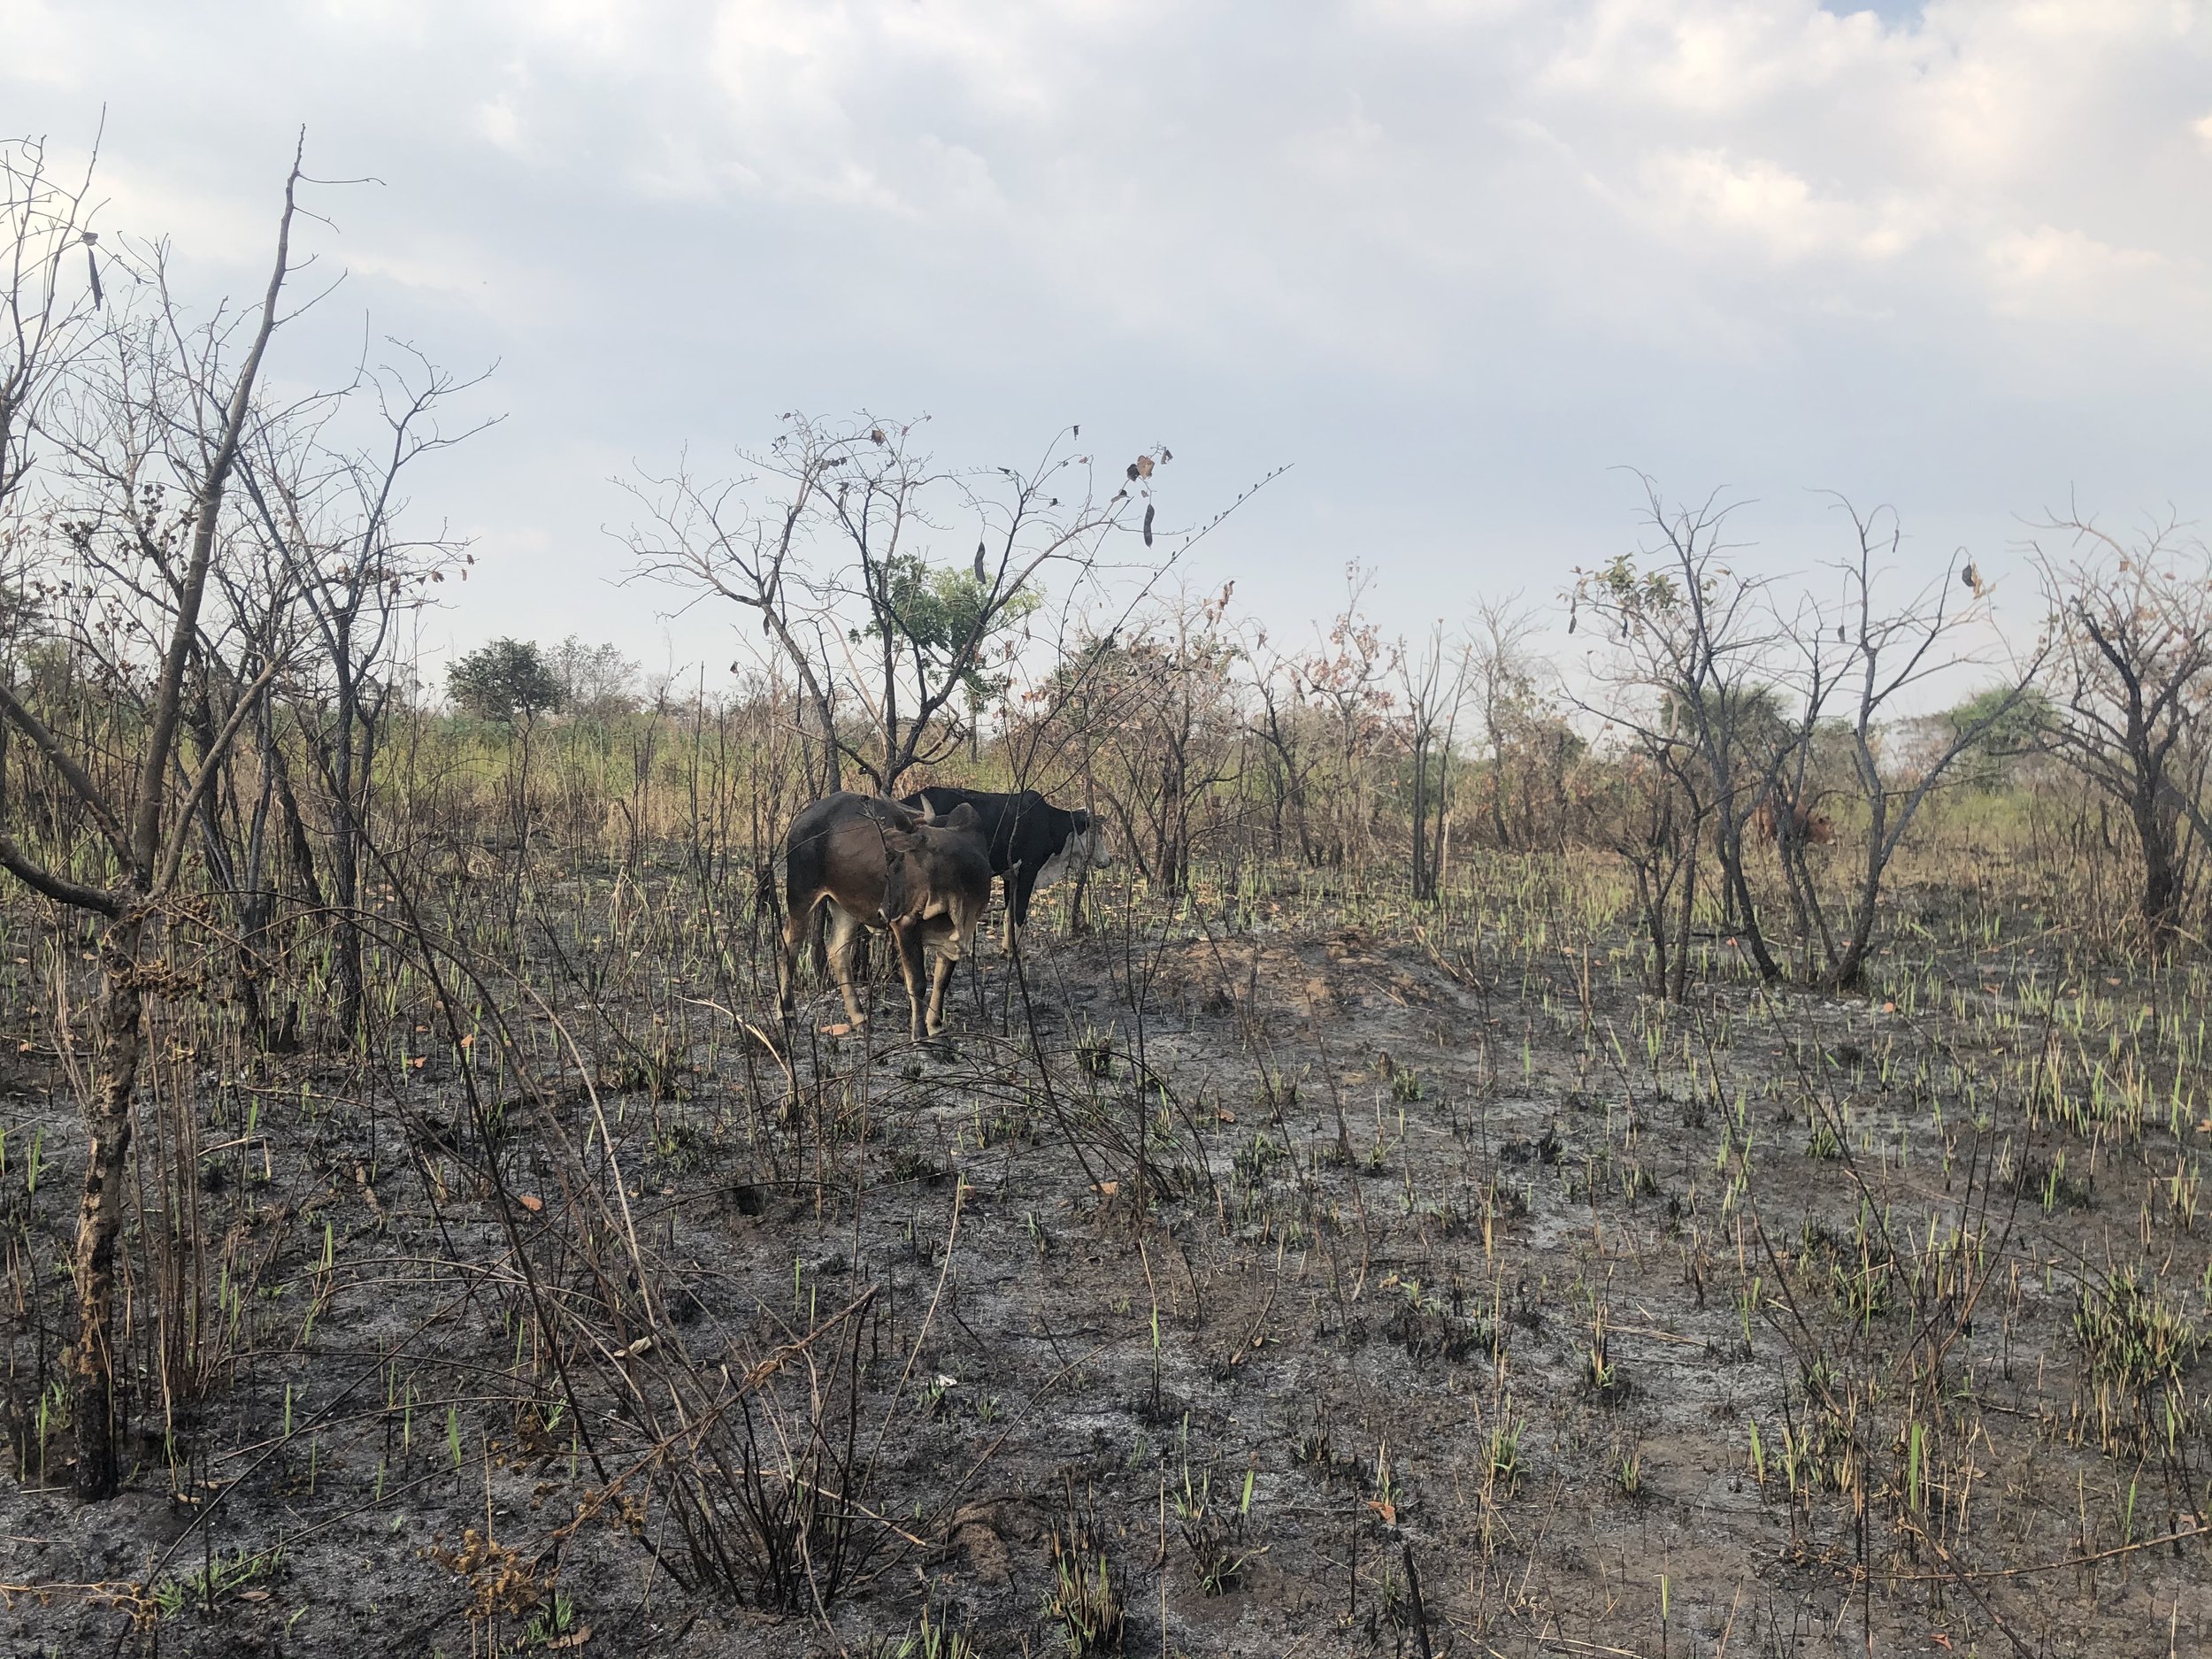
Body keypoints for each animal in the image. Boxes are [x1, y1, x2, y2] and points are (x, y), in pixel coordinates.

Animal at [779, 792, 987, 1040]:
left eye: (896, 859)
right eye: (887, 857)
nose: (883, 911)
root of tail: (802, 817)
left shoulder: (957, 935)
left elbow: (941, 981)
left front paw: (935, 1027)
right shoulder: (905, 924)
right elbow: (917, 982)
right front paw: (920, 1036)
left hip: (845, 906)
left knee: (837, 950)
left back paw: (859, 1018)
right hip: (801, 894)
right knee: (789, 946)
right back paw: (787, 1015)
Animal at [894, 787, 1106, 947]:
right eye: (1096, 831)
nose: (1108, 859)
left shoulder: (1010, 875)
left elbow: (1008, 915)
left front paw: (1008, 948)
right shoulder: (1029, 870)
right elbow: (1019, 914)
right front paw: (1015, 953)